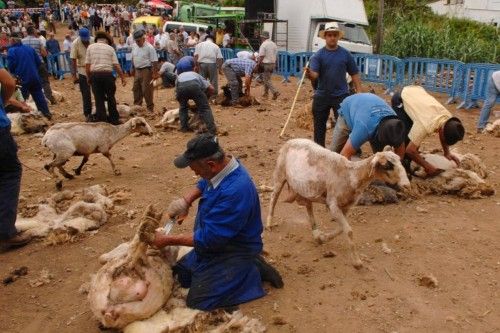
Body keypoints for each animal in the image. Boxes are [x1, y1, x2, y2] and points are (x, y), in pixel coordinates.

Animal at [266, 137, 410, 268]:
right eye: (388, 166)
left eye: (400, 161)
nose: (407, 185)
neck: (351, 175)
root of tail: (291, 140)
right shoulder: (333, 204)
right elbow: (349, 231)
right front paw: (357, 262)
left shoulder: (346, 207)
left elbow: (342, 229)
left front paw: (324, 238)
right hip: (280, 174)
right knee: (273, 197)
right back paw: (269, 223)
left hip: (306, 189)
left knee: (308, 207)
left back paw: (316, 234)